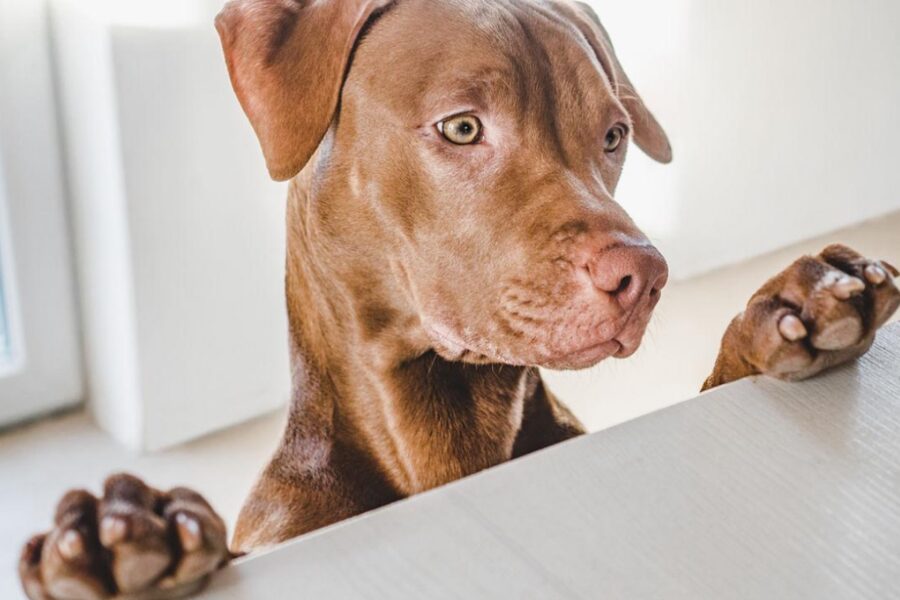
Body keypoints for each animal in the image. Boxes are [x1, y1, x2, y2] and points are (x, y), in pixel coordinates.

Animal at [15, 1, 900, 596]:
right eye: (464, 127)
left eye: (613, 136)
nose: (644, 276)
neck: (447, 429)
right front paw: (127, 539)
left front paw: (791, 307)